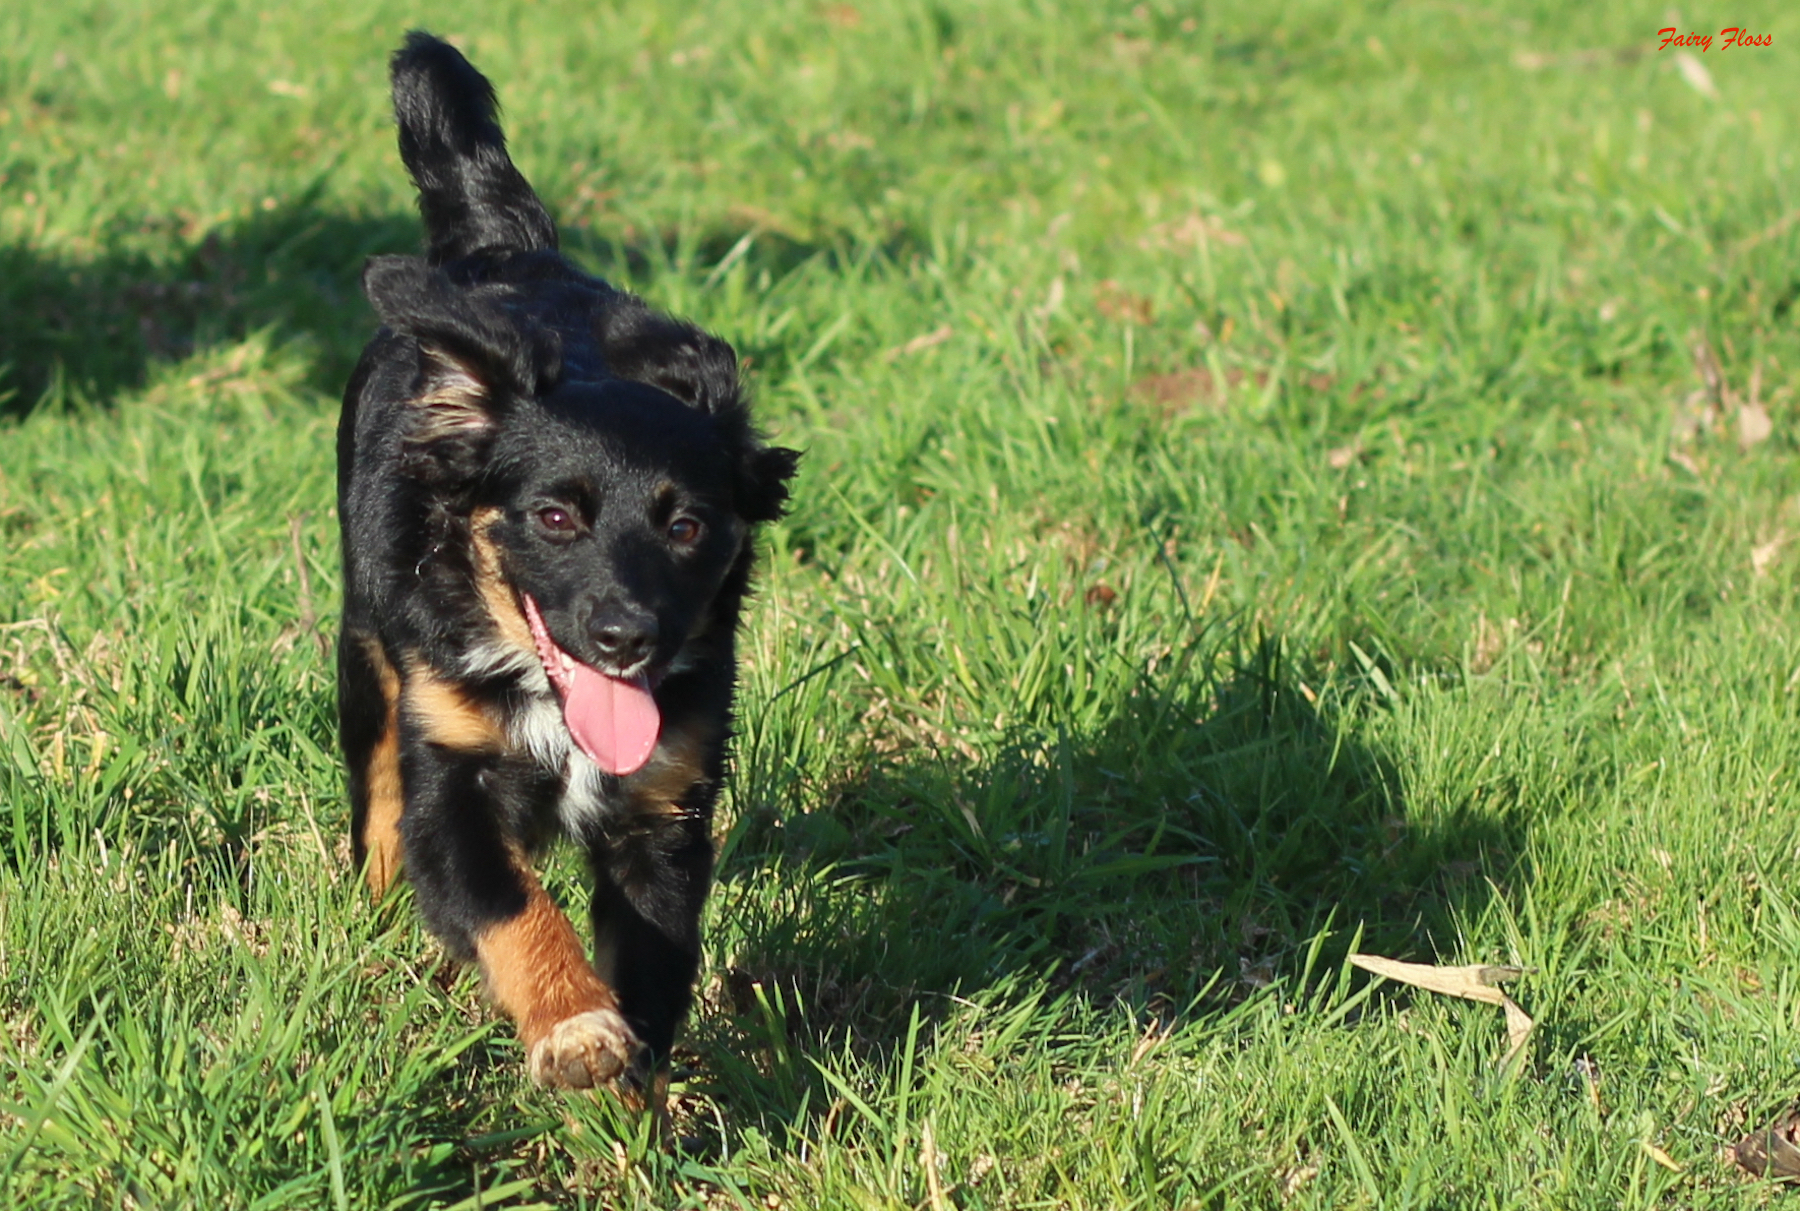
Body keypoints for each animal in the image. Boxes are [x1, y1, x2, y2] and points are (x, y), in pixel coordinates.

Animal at [336, 33, 795, 1094]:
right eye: (552, 516)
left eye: (688, 527)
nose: (626, 638)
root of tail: (506, 249)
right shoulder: (450, 779)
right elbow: (512, 907)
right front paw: (576, 1026)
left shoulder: (666, 804)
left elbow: (653, 967)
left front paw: (636, 1097)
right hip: (366, 644)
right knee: (374, 795)